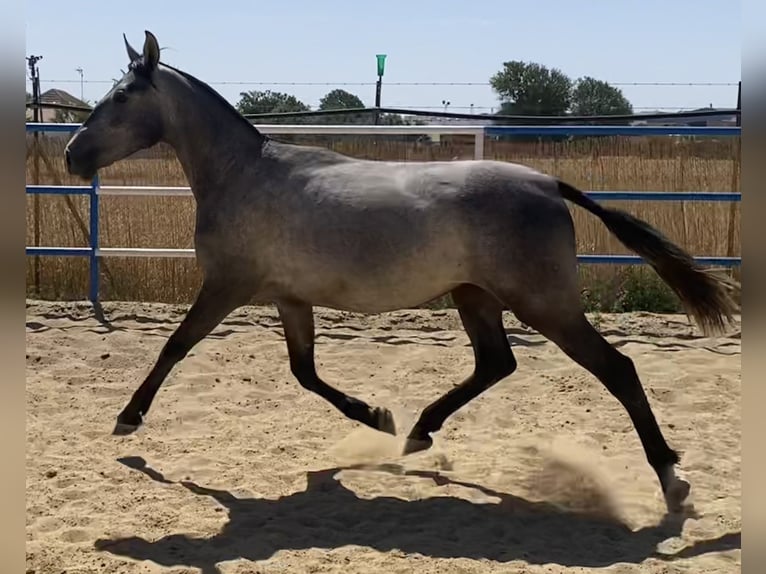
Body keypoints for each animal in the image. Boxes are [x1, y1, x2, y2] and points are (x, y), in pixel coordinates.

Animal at [64, 30, 736, 516]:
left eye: (121, 96)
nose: (72, 155)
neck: (243, 175)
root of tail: (548, 183)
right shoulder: (289, 298)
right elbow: (304, 372)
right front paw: (376, 417)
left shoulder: (227, 287)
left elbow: (174, 347)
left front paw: (127, 420)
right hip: (475, 296)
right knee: (496, 364)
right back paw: (417, 433)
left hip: (544, 303)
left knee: (616, 369)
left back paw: (673, 482)